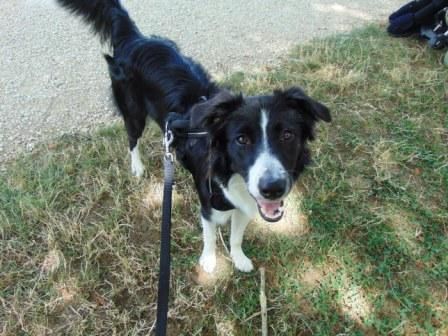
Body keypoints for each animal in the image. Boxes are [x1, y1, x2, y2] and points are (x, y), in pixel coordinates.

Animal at [55, 0, 328, 272]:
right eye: (241, 139)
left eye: (287, 135)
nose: (273, 188)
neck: (230, 172)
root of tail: (136, 40)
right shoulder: (209, 204)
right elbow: (210, 236)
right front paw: (209, 262)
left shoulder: (245, 203)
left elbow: (236, 234)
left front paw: (239, 259)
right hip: (133, 113)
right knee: (133, 139)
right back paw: (137, 167)